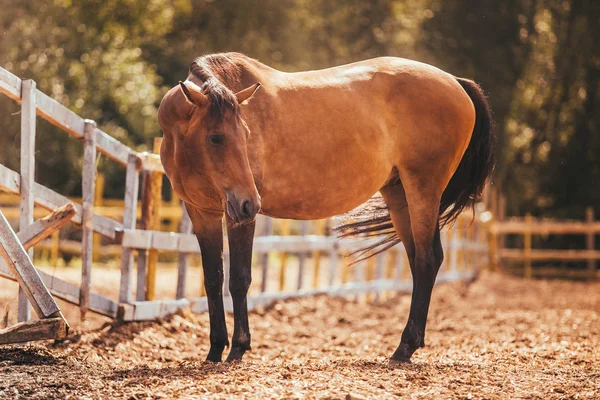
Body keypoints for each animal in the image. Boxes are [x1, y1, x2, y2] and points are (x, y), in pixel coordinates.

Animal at [157, 51, 494, 364]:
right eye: (216, 137)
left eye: (246, 133)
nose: (250, 202)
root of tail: (456, 82)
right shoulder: (202, 213)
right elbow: (213, 279)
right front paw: (215, 350)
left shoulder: (238, 217)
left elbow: (239, 279)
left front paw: (238, 348)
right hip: (399, 195)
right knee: (418, 260)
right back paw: (408, 345)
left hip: (423, 189)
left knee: (427, 259)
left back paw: (404, 348)